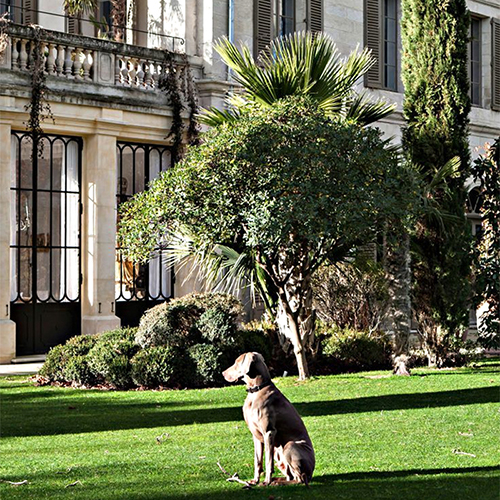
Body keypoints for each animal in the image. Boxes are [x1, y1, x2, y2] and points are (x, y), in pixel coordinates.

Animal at [222, 352, 314, 484]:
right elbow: (257, 460)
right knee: (290, 475)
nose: (223, 373)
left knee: (299, 479)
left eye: (237, 362)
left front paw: (266, 481)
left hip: (290, 445)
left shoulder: (269, 432)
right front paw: (255, 480)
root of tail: (312, 470)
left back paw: (278, 482)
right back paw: (278, 480)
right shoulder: (256, 435)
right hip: (278, 453)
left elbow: (267, 461)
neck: (256, 390)